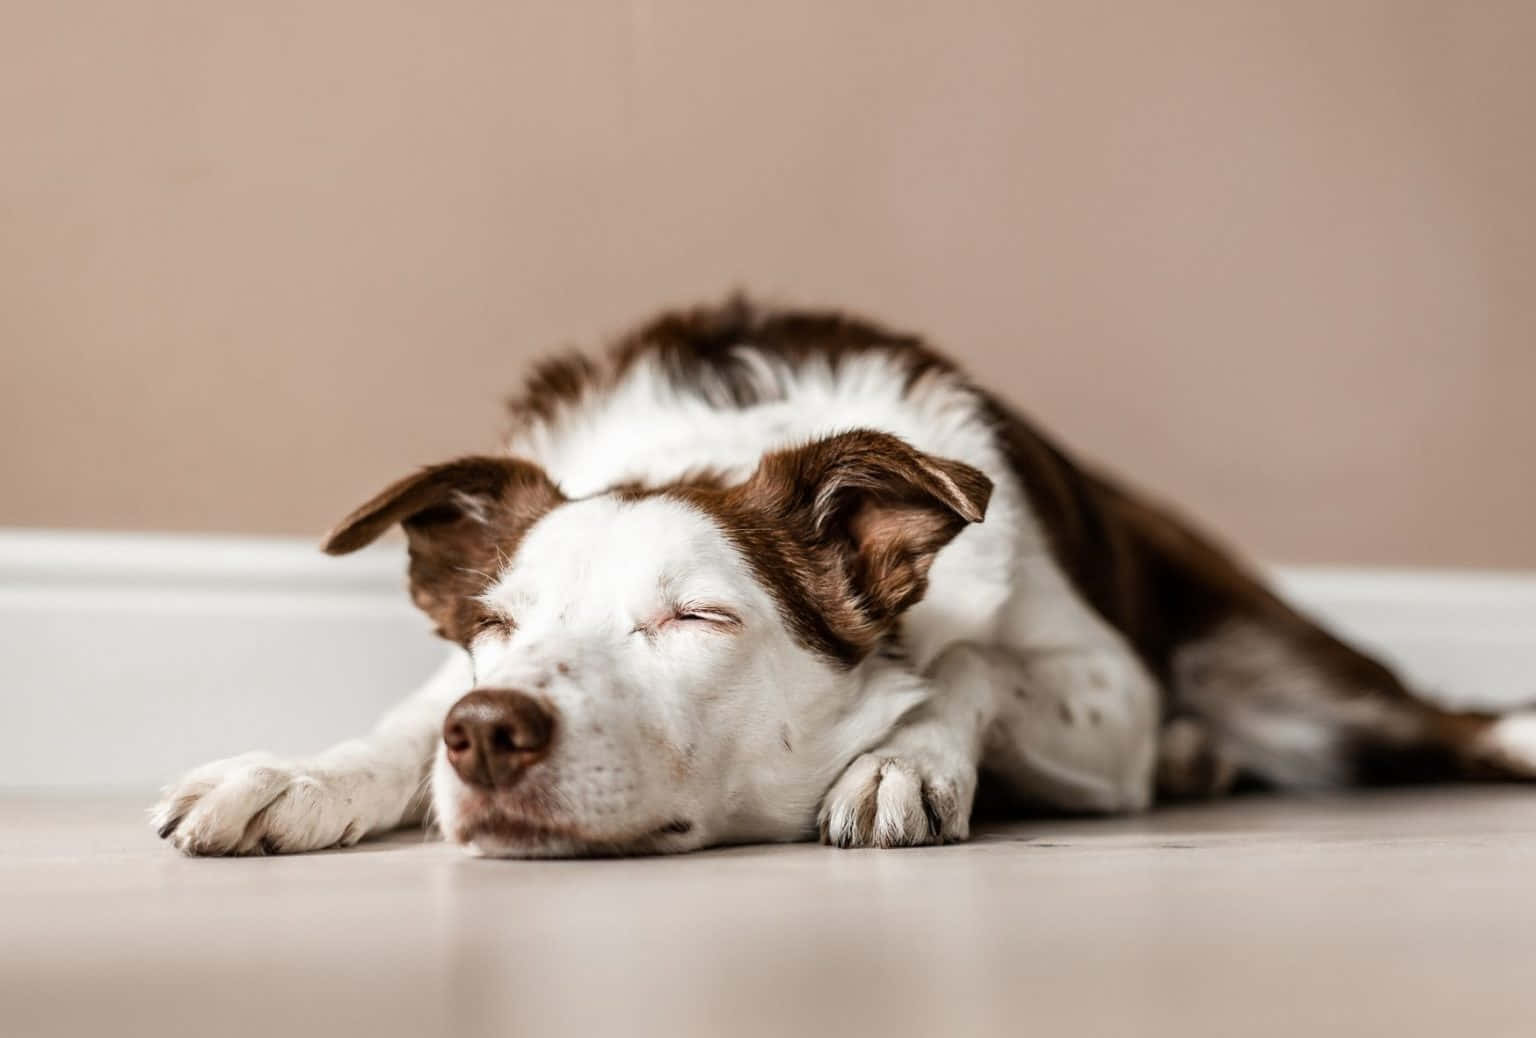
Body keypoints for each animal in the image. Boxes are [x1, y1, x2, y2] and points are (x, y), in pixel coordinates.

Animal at [149, 296, 1529, 853]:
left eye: (696, 616)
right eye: (491, 629)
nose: (489, 732)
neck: (709, 444)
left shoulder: (1109, 691)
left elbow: (969, 659)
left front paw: (901, 760)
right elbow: (393, 726)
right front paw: (294, 777)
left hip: (1290, 681)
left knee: (1435, 719)